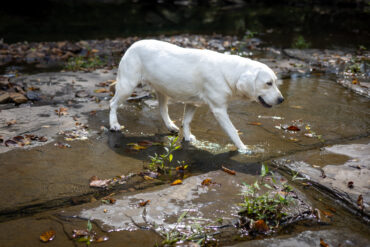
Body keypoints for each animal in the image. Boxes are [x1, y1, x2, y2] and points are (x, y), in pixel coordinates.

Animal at [110, 39, 284, 152]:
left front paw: (187, 137)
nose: (282, 100)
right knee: (112, 103)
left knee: (162, 109)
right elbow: (233, 131)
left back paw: (170, 126)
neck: (230, 72)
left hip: (162, 89)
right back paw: (114, 125)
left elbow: (186, 122)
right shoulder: (219, 110)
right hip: (127, 85)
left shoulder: (193, 103)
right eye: (268, 83)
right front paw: (244, 149)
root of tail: (133, 44)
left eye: (275, 82)